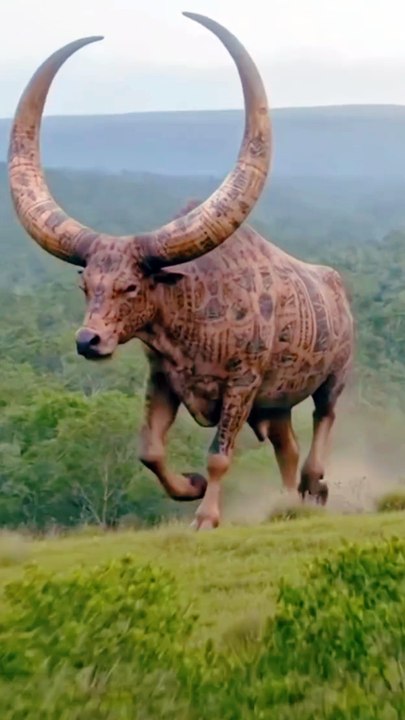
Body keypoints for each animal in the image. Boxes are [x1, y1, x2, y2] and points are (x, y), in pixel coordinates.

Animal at [8, 13, 354, 530]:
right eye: (87, 285)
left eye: (131, 286)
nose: (88, 341)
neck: (197, 307)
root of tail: (336, 287)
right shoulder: (164, 381)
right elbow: (150, 451)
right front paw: (189, 487)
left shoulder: (241, 386)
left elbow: (219, 455)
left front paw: (206, 517)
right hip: (274, 406)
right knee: (287, 447)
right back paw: (287, 501)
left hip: (332, 379)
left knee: (322, 422)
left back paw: (316, 483)